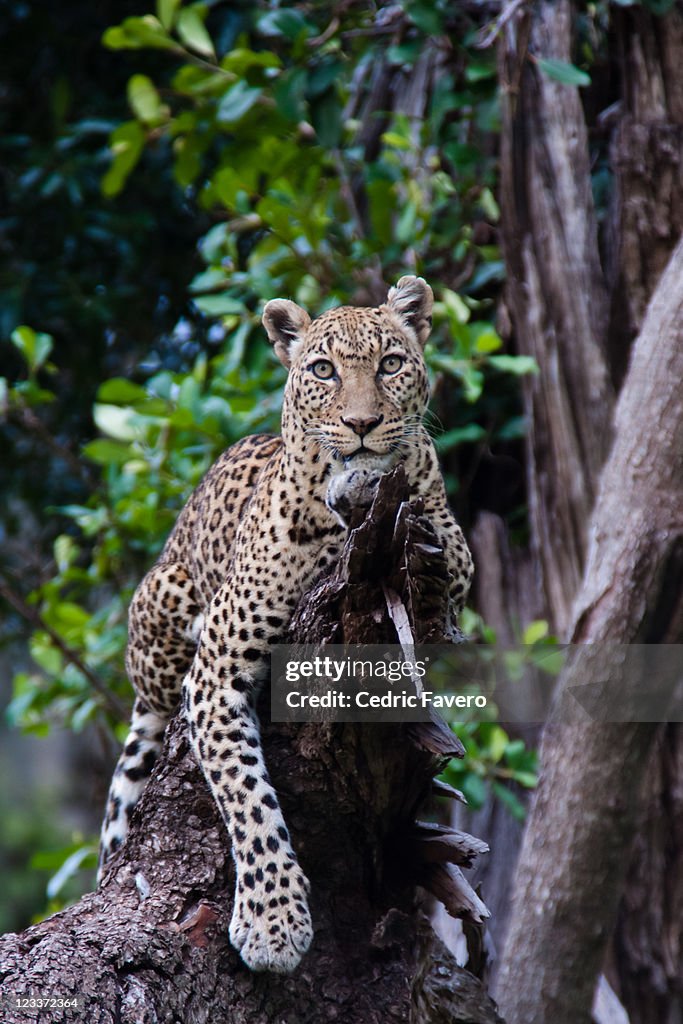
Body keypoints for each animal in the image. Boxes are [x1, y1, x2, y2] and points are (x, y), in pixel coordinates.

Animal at [98, 274, 475, 974]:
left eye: (391, 363)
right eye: (324, 370)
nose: (362, 425)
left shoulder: (448, 547)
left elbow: (433, 529)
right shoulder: (216, 673)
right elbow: (248, 798)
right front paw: (274, 925)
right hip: (160, 604)